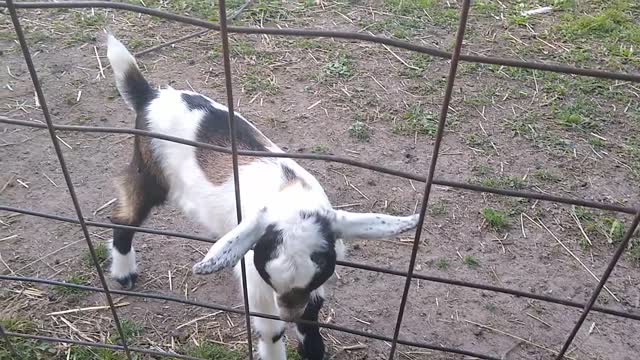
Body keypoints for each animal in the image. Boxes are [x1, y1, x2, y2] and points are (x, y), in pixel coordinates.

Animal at [105, 35, 420, 360]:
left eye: (319, 273)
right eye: (269, 275)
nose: (289, 314)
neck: (290, 195)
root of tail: (150, 96)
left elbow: (312, 315)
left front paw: (312, 349)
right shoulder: (257, 281)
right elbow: (270, 330)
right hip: (149, 169)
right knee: (125, 215)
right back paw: (124, 274)